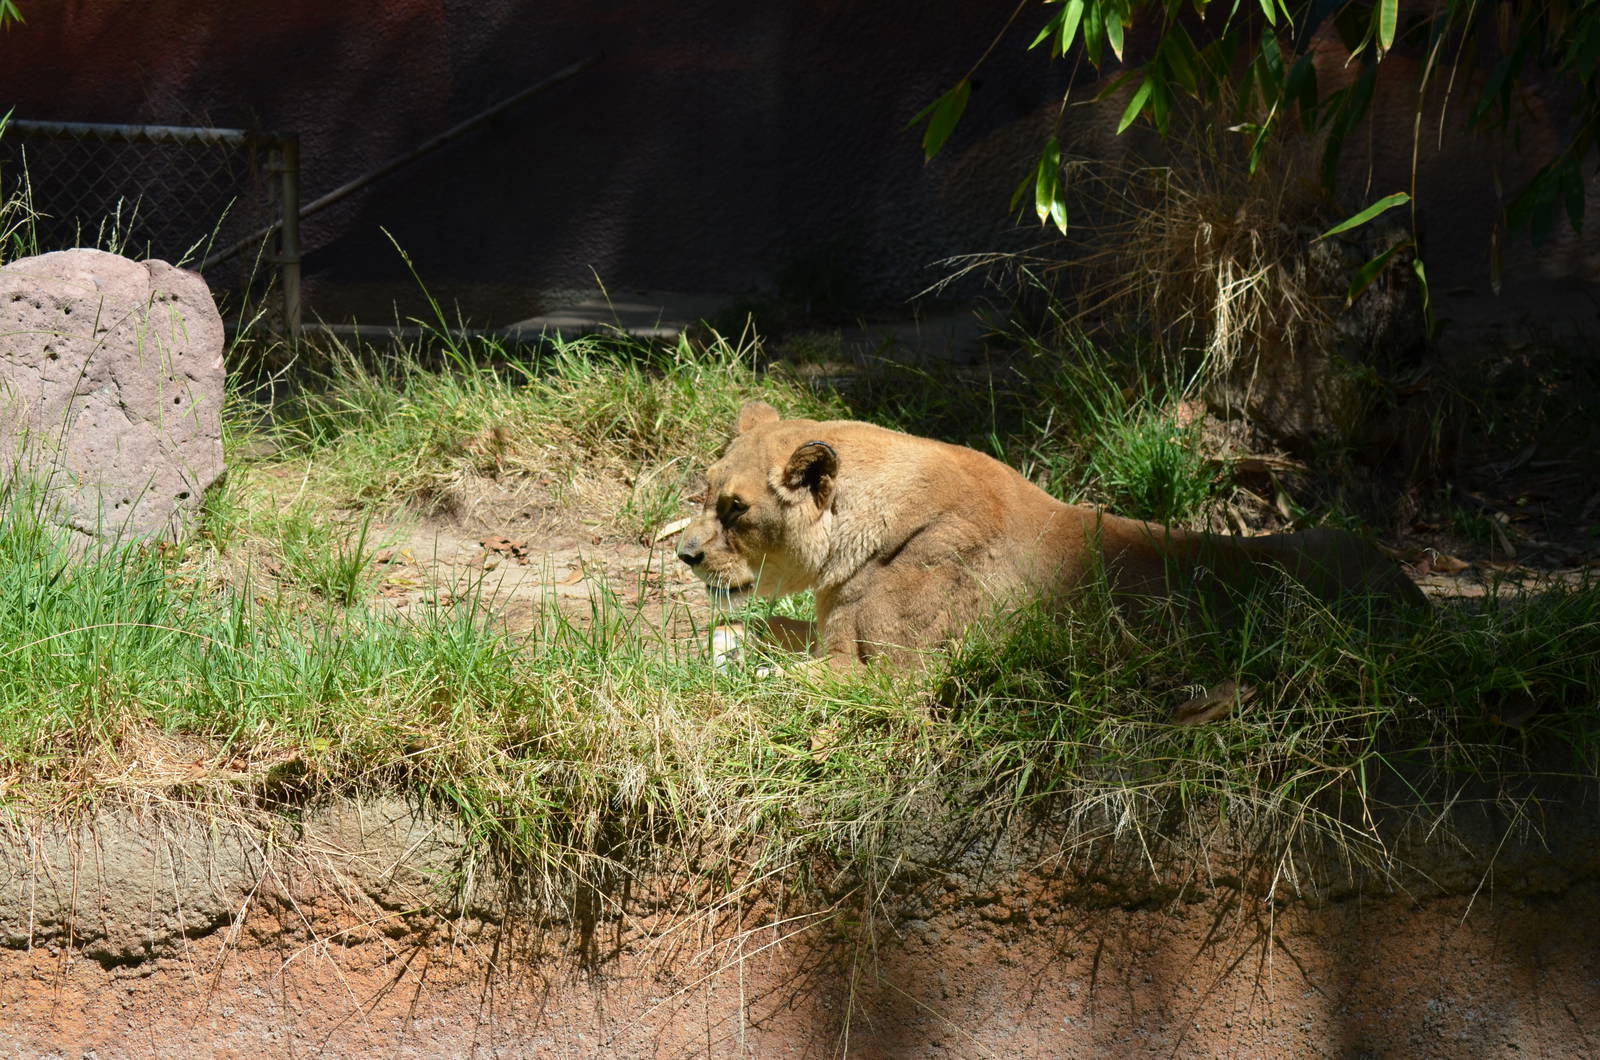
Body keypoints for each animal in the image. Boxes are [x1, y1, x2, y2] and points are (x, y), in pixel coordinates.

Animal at [676, 401, 1428, 670]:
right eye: (705, 491)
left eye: (736, 509)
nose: (684, 554)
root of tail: (1416, 594)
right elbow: (757, 628)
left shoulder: (888, 677)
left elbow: (780, 679)